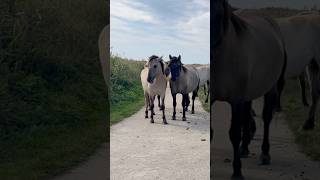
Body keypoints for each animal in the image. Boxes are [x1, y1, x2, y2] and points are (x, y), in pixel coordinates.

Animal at [211, 1, 286, 179]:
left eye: (218, 15)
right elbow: (211, 132)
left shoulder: (236, 101)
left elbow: (234, 133)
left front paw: (237, 171)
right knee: (247, 115)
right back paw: (244, 148)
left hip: (270, 89)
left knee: (266, 117)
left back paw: (265, 154)